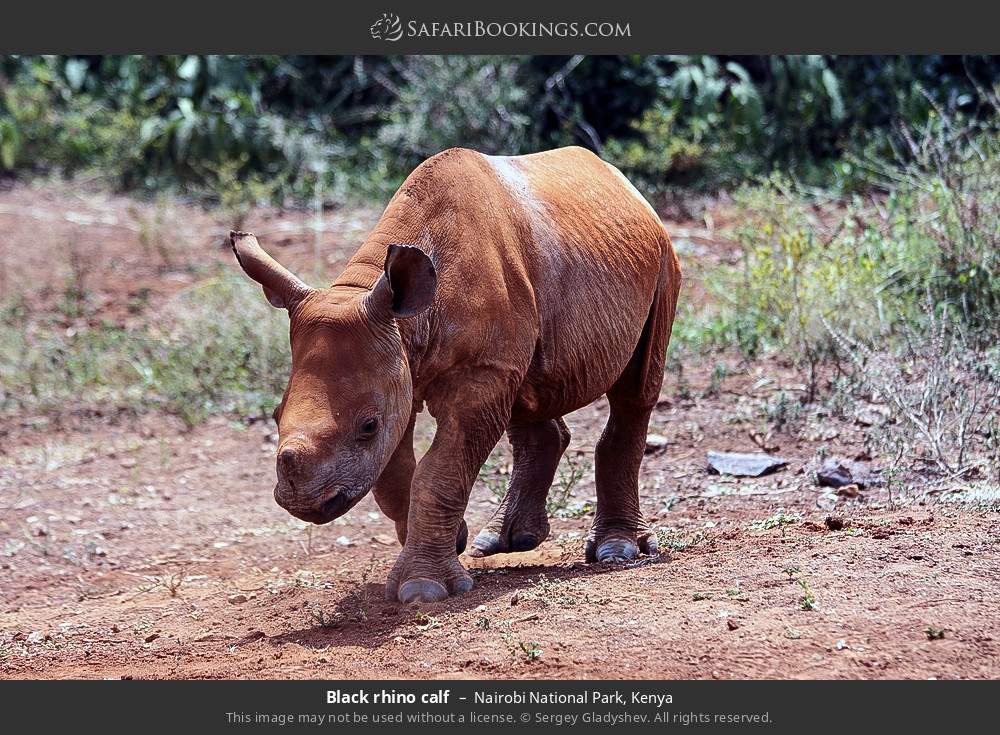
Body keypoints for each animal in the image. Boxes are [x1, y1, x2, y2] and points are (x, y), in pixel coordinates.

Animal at [231, 146, 681, 604]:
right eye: (274, 416)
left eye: (368, 426)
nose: (302, 502)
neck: (402, 317)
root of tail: (621, 182)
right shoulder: (399, 363)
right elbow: (395, 473)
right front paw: (455, 540)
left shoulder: (470, 373)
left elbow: (439, 472)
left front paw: (422, 589)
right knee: (527, 393)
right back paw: (502, 541)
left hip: (662, 259)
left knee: (635, 390)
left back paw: (617, 550)